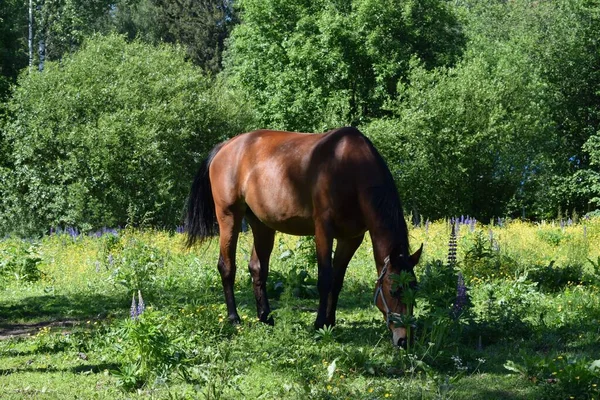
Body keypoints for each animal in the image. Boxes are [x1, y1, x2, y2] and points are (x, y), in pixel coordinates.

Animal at [184, 126, 422, 346]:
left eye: (414, 289)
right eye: (393, 291)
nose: (405, 340)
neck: (349, 168)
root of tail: (225, 146)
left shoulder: (351, 238)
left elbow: (337, 280)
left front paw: (330, 321)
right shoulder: (323, 230)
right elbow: (325, 278)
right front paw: (319, 324)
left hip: (261, 224)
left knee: (257, 268)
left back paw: (266, 318)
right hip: (229, 217)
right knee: (226, 266)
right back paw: (234, 318)